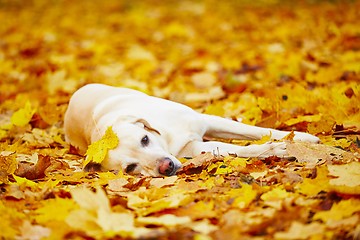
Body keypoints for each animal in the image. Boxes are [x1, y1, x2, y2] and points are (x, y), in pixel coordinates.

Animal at [63, 84, 320, 176]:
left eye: (144, 139)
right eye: (131, 168)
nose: (165, 167)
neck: (166, 137)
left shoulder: (207, 119)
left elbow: (252, 130)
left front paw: (301, 137)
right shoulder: (194, 148)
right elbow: (234, 148)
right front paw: (279, 148)